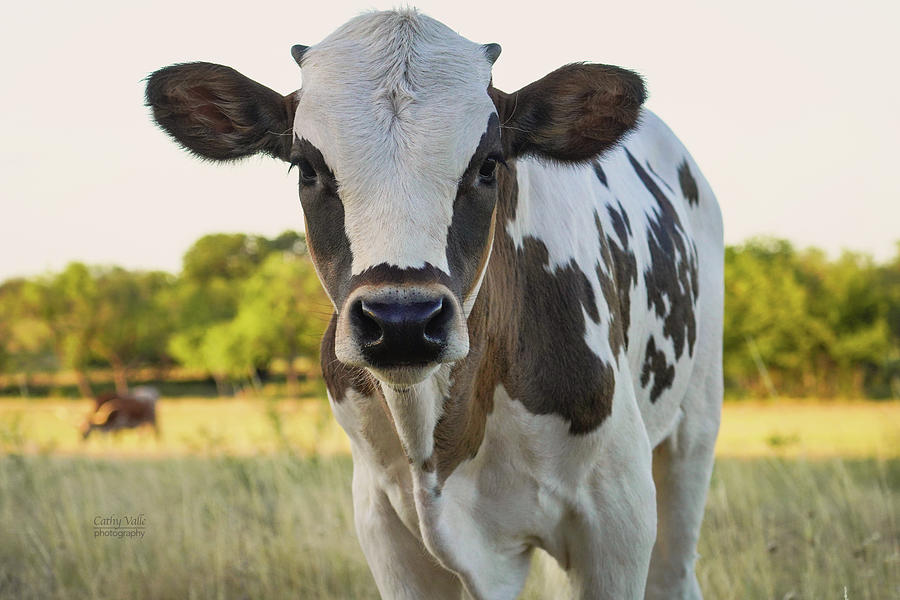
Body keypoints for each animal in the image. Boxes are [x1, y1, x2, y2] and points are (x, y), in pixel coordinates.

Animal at [146, 9, 724, 600]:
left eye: (490, 164)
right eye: (306, 167)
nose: (402, 321)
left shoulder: (617, 520)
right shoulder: (384, 524)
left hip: (694, 429)